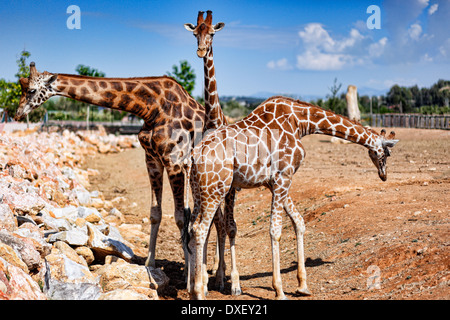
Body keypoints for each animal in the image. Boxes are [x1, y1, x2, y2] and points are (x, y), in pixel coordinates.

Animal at [185, 95, 400, 300]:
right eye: (387, 153)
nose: (384, 175)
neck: (300, 122)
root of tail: (195, 156)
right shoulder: (283, 176)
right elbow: (276, 230)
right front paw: (279, 291)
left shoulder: (274, 182)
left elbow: (299, 222)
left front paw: (303, 286)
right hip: (216, 189)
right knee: (201, 230)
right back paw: (199, 292)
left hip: (199, 191)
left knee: (192, 228)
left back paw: (195, 288)